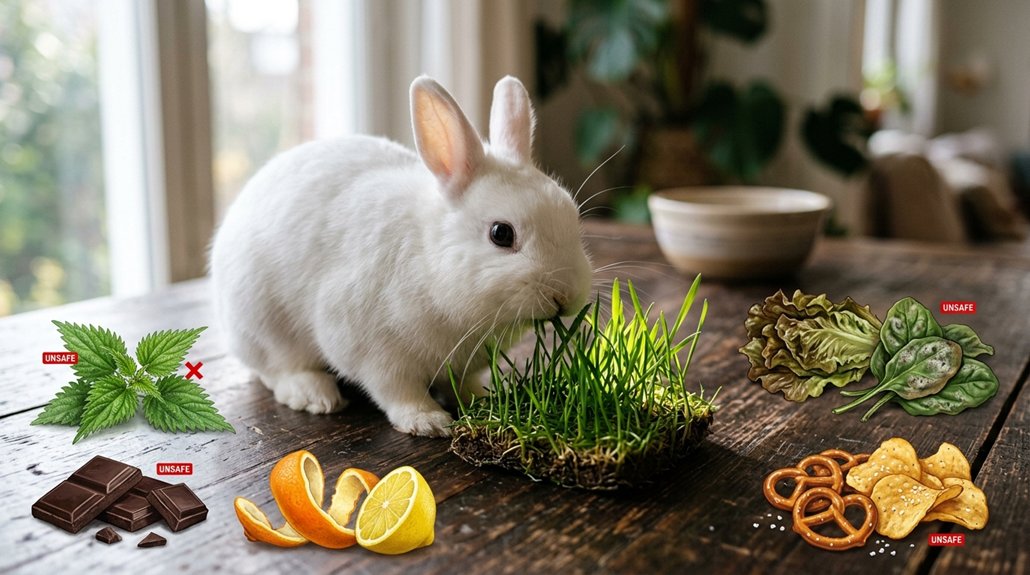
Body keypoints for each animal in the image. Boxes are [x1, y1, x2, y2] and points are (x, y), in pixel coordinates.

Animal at [210, 75, 593, 437]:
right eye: (501, 234)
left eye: (572, 214)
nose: (564, 295)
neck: (430, 260)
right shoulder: (372, 351)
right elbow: (396, 391)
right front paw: (428, 422)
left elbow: (462, 384)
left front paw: (482, 398)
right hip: (262, 323)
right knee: (274, 369)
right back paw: (314, 394)